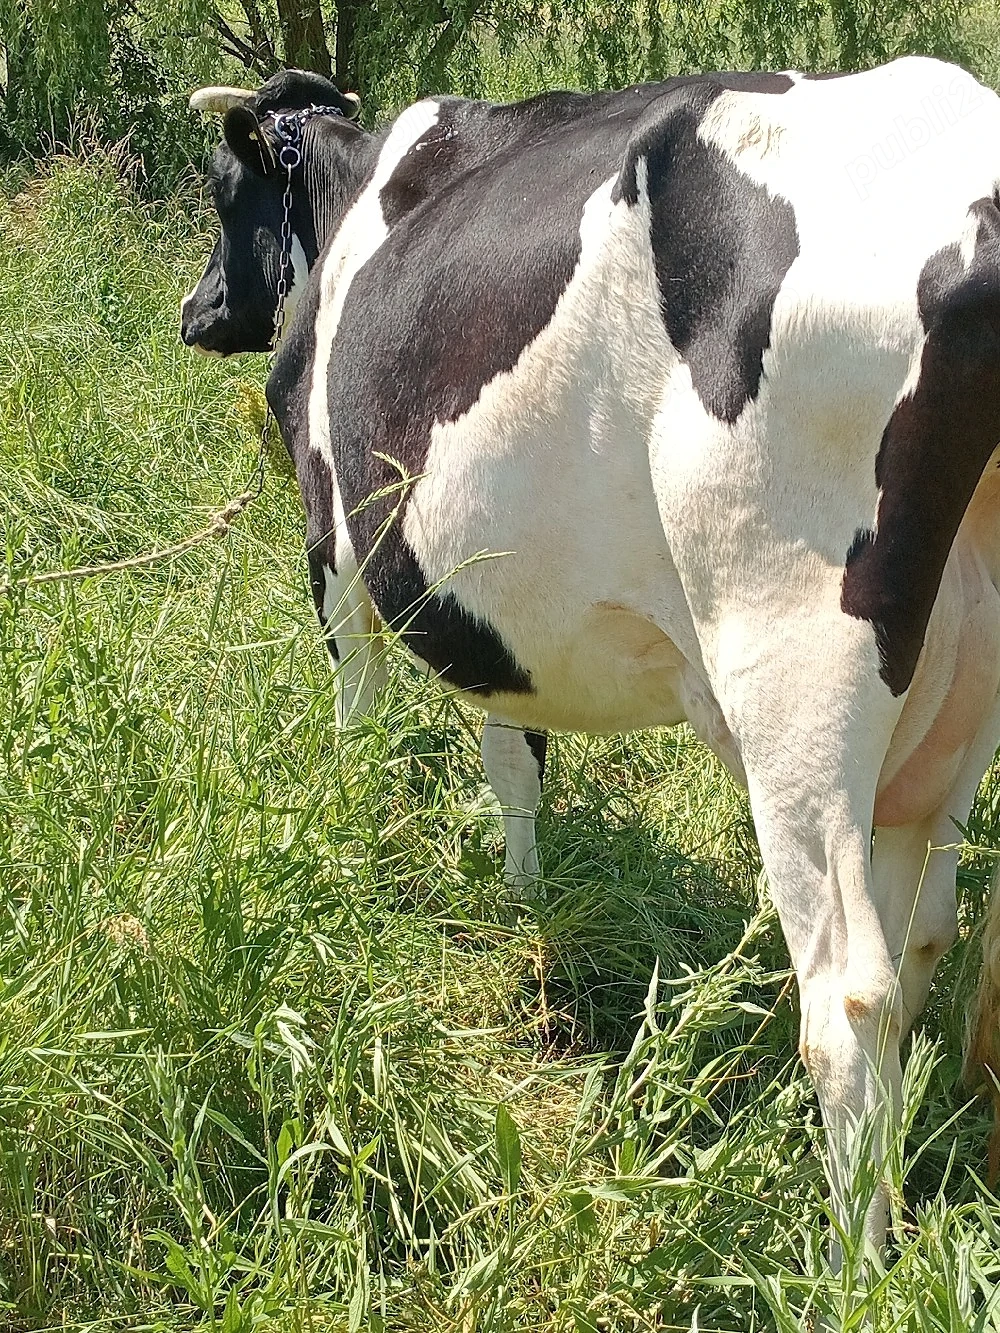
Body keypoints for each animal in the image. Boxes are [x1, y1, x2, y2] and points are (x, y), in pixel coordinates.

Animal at [182, 59, 1000, 1256]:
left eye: (224, 189)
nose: (195, 312)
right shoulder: (494, 611)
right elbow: (513, 754)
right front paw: (526, 903)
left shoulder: (334, 548)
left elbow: (358, 716)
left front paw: (349, 839)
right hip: (952, 699)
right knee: (919, 945)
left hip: (796, 668)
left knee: (849, 996)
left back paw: (853, 1262)